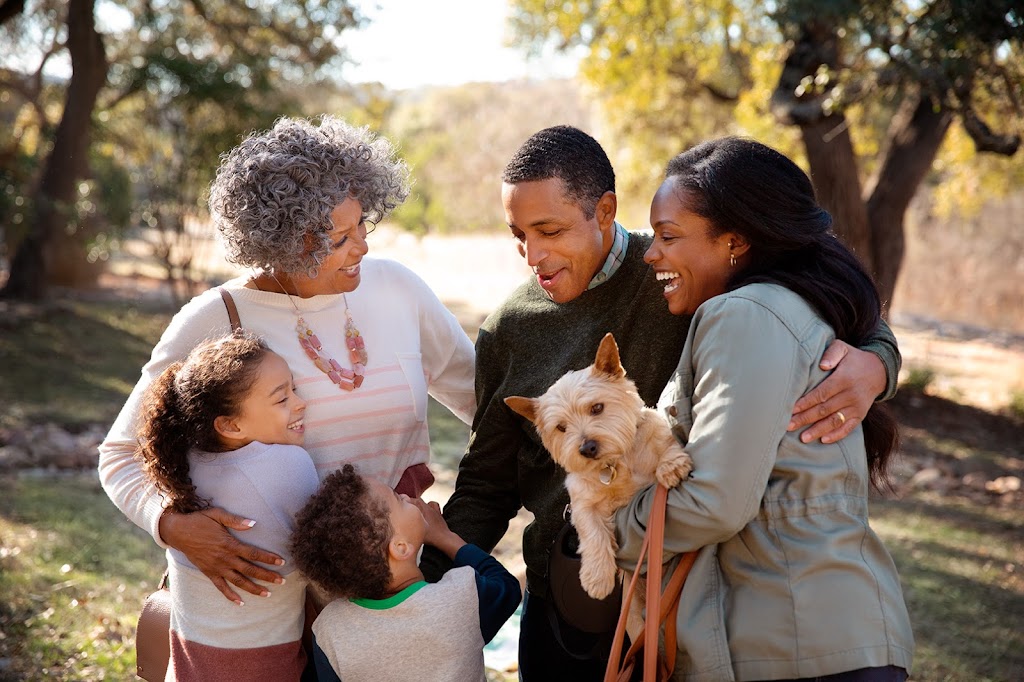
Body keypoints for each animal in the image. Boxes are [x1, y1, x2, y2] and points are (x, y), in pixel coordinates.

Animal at [501, 331, 692, 598]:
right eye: (561, 427)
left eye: (597, 408)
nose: (587, 449)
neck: (614, 463)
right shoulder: (583, 503)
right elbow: (593, 532)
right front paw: (598, 578)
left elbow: (665, 440)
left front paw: (671, 465)